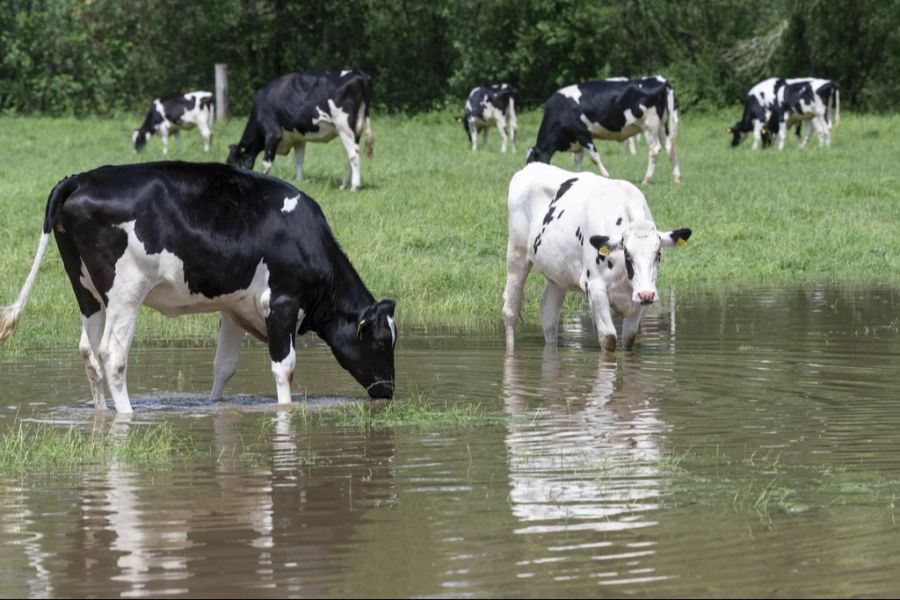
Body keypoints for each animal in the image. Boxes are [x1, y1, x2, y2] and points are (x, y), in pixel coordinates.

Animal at [0, 161, 398, 412]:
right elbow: (284, 367)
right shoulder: (282, 302)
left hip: (86, 290)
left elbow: (224, 366)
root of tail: (80, 178)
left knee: (87, 352)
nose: (389, 391)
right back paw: (126, 414)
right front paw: (285, 412)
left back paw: (100, 413)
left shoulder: (235, 308)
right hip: (126, 291)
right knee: (112, 355)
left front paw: (214, 407)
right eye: (381, 342)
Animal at [232, 70, 376, 192]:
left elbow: (266, 163)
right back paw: (343, 185)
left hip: (344, 126)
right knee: (352, 154)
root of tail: (359, 74)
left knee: (353, 154)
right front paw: (299, 181)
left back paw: (354, 186)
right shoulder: (298, 138)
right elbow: (298, 160)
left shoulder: (273, 134)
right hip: (356, 130)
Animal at [502, 163, 692, 352]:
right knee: (510, 311)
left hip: (558, 275)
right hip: (516, 254)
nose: (647, 295)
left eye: (658, 254)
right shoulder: (595, 288)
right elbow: (608, 339)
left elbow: (629, 339)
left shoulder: (639, 293)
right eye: (627, 254)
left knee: (548, 315)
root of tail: (530, 167)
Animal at [524, 77, 680, 185]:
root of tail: (660, 81)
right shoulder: (576, 140)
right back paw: (676, 178)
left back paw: (647, 179)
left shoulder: (583, 134)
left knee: (654, 150)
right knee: (670, 148)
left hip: (649, 126)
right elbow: (578, 159)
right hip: (661, 127)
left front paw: (606, 176)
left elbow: (594, 157)